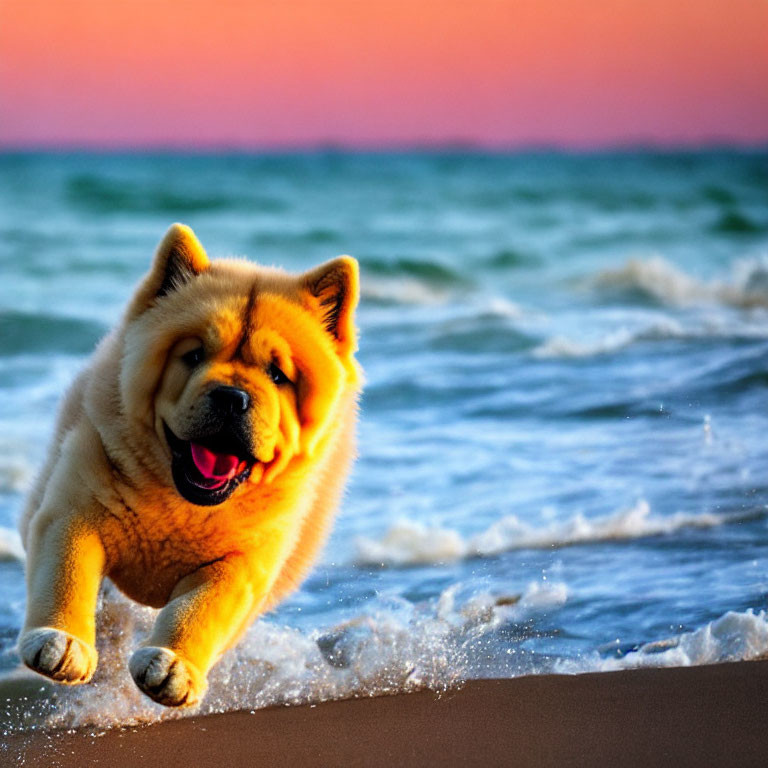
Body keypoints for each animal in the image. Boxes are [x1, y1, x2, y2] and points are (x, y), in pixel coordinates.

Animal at [18, 224, 364, 708]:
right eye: (194, 355)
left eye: (278, 374)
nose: (232, 396)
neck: (181, 501)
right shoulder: (76, 505)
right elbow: (67, 571)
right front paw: (61, 643)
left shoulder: (244, 562)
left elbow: (200, 610)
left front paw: (172, 668)